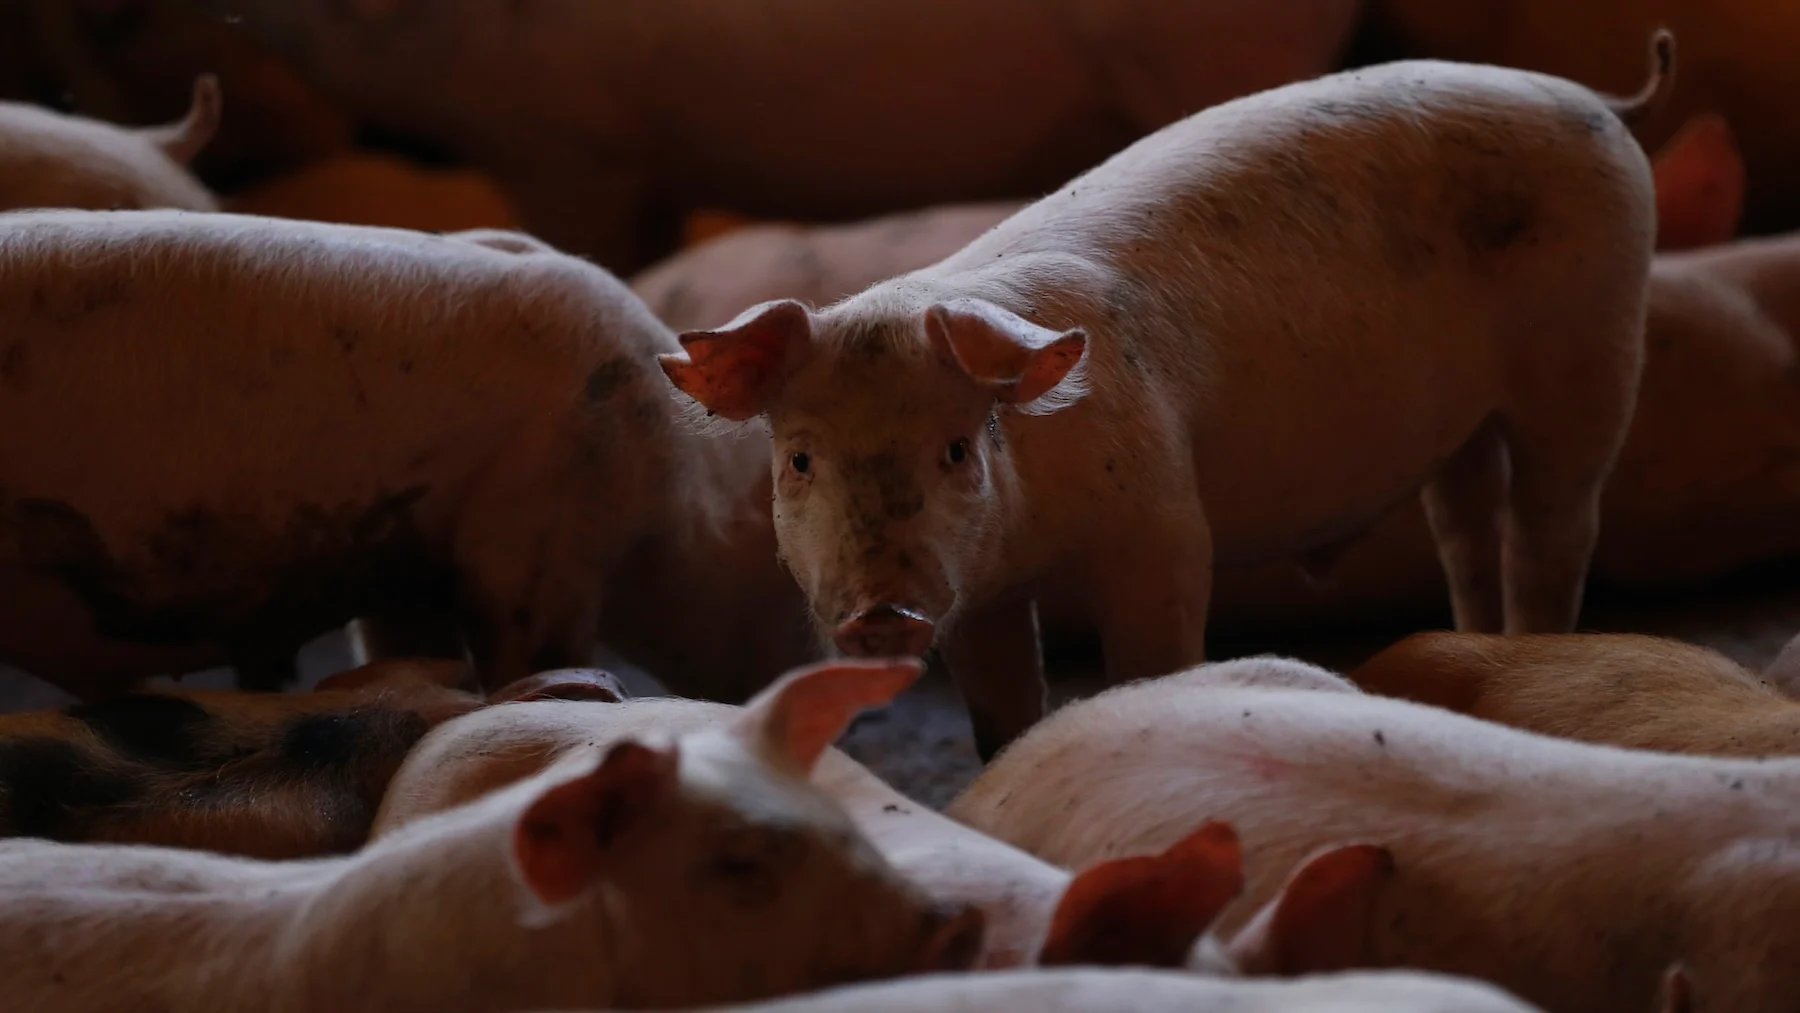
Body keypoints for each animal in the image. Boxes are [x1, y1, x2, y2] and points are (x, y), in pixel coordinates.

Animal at [659, 40, 1670, 757]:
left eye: (956, 448)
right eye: (799, 459)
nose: (880, 613)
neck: (1037, 534)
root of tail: (1596, 101)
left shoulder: (1160, 517)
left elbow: (1154, 649)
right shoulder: (981, 592)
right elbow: (999, 711)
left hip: (1594, 348)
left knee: (1554, 524)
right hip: (1460, 426)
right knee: (1466, 525)